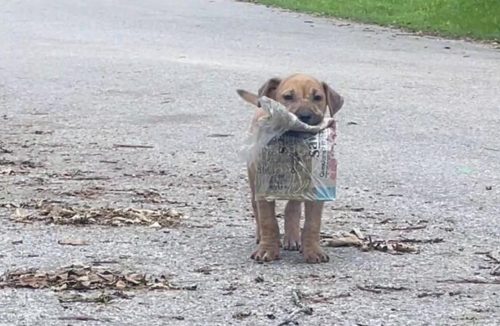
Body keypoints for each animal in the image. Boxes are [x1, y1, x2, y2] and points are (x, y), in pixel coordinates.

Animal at [236, 73, 342, 262]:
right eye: (288, 97)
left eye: (318, 97)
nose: (304, 116)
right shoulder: (263, 187)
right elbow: (268, 220)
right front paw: (267, 249)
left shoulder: (316, 189)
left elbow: (312, 223)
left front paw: (313, 250)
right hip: (253, 178)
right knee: (256, 208)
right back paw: (261, 236)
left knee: (292, 207)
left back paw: (292, 237)